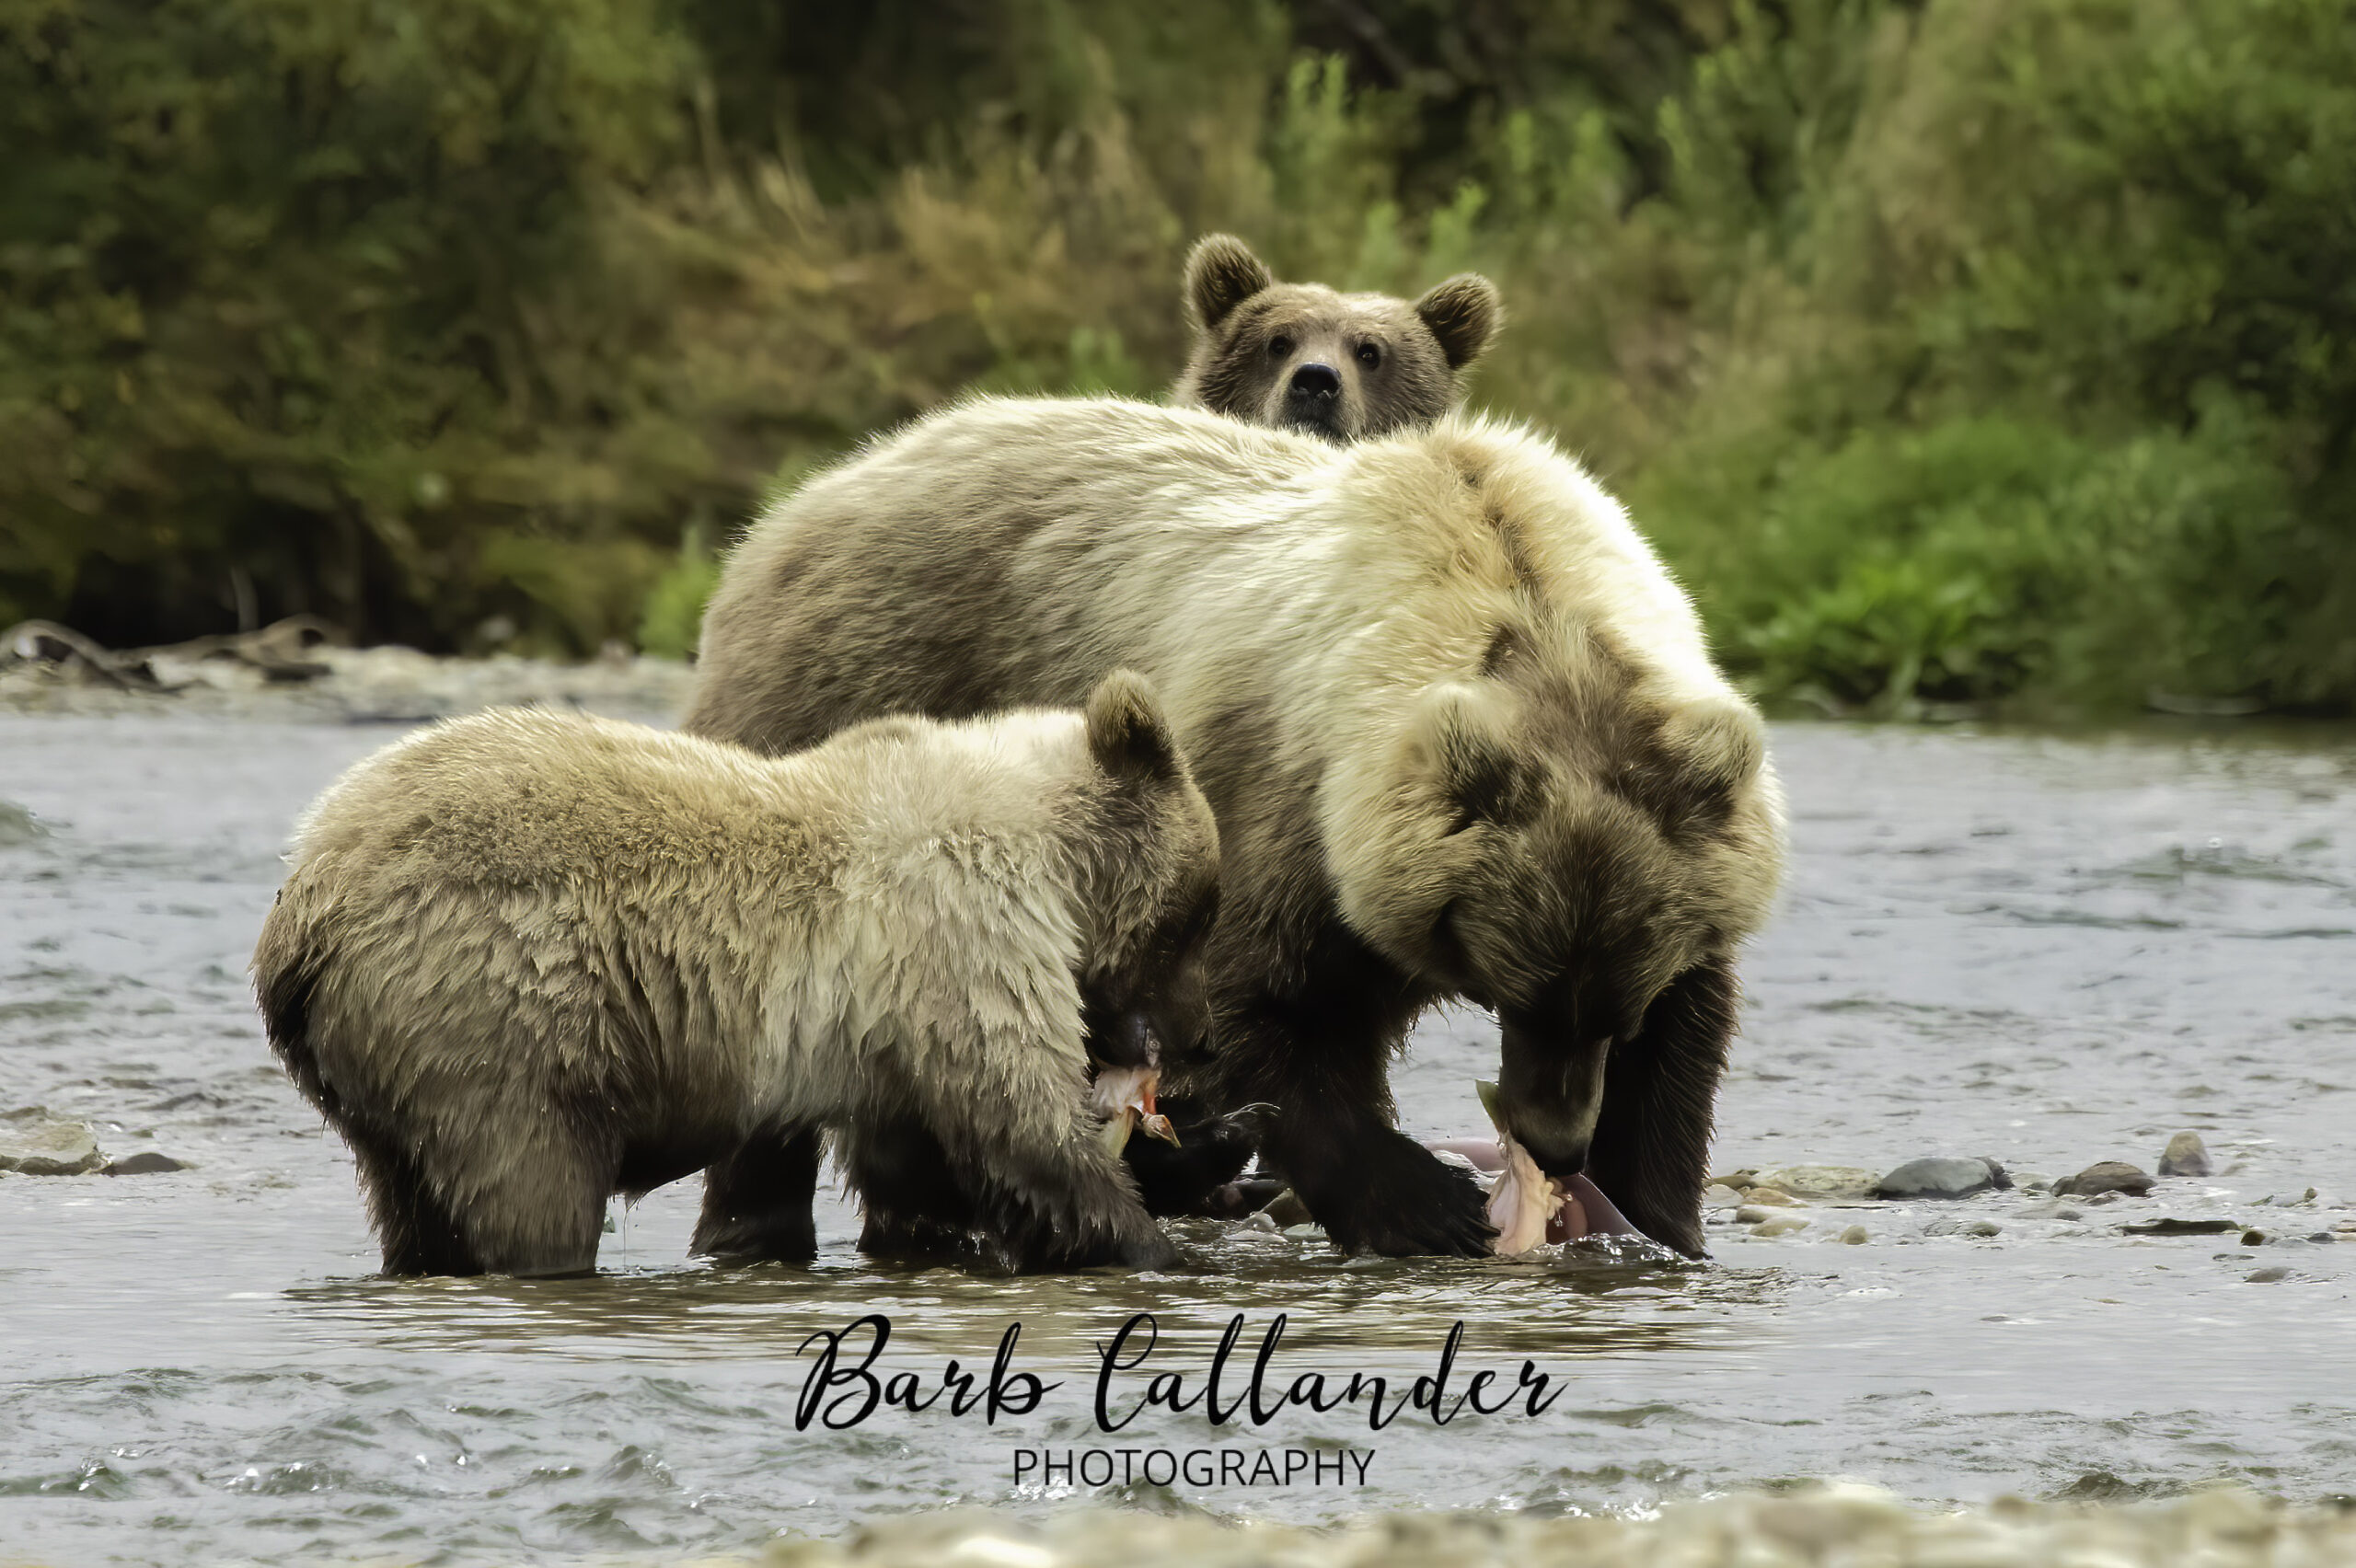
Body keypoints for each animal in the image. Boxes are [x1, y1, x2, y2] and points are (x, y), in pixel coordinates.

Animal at [251, 673, 1221, 1278]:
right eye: (1199, 915)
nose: (1202, 1036)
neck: (1053, 858)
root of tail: (306, 901)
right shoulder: (958, 926)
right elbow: (1018, 1117)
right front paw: (1151, 1243)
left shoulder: (889, 1026)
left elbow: (917, 1159)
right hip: (495, 1008)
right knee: (528, 1180)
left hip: (377, 1066)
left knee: (409, 1198)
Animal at [683, 396, 1786, 1260]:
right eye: (1516, 980)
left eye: (1610, 1006)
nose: (1554, 1143)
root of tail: (791, 509)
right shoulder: (1273, 800)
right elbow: (1261, 1003)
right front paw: (1424, 1201)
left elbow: (1687, 1039)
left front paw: (1652, 1216)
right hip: (844, 709)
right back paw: (770, 1226)